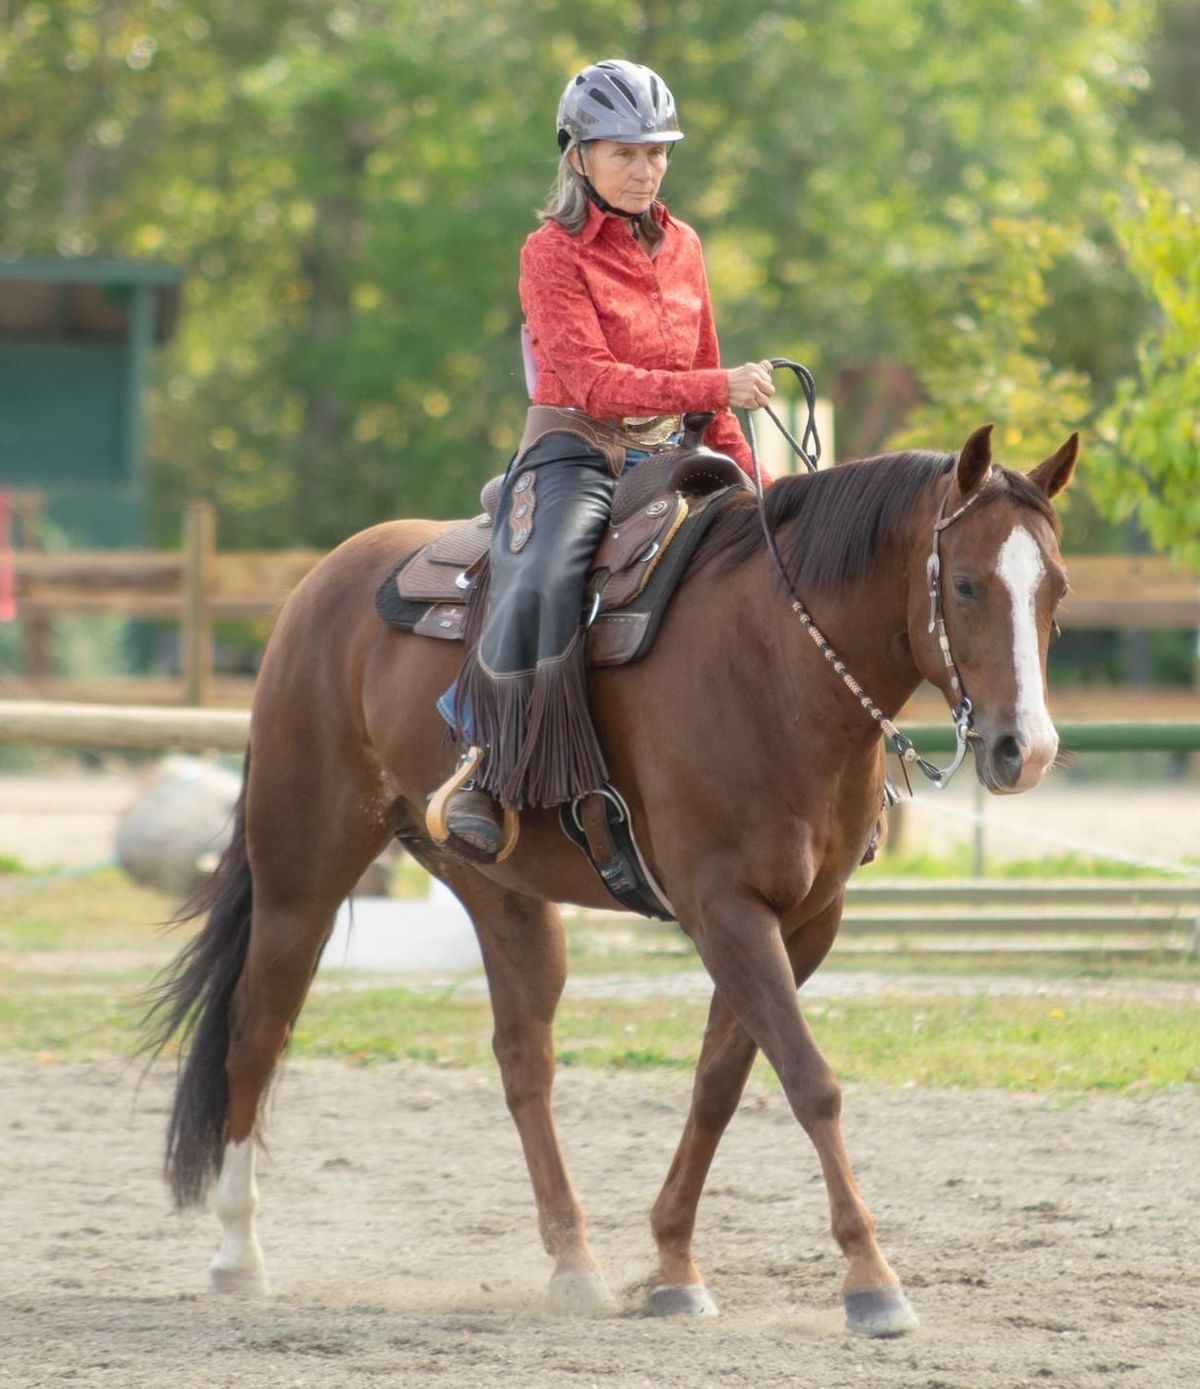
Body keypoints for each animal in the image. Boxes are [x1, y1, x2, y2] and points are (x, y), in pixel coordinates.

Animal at [145, 419, 1072, 1333]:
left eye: (1055, 590)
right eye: (965, 584)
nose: (1025, 751)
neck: (778, 667)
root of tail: (318, 587)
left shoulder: (806, 920)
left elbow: (719, 1084)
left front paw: (673, 1265)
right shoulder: (725, 908)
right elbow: (811, 1080)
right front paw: (872, 1278)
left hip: (501, 892)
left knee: (524, 1058)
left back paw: (573, 1261)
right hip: (300, 868)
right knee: (256, 1030)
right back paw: (238, 1253)